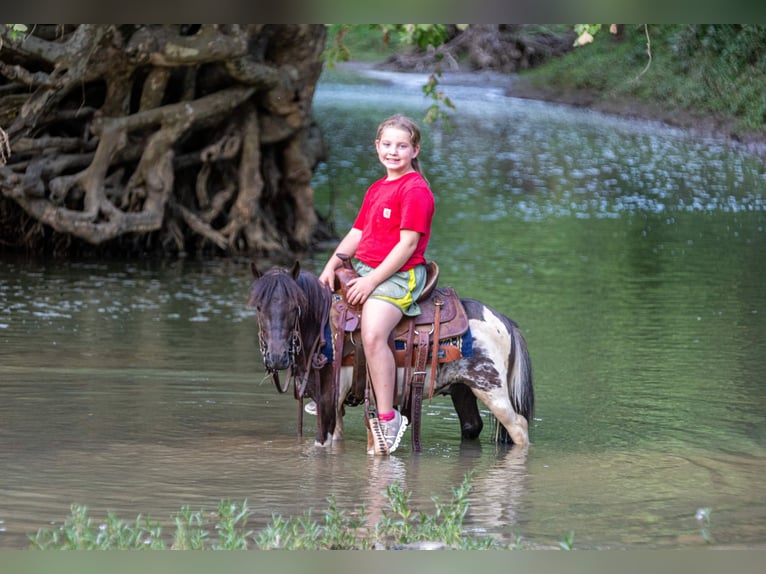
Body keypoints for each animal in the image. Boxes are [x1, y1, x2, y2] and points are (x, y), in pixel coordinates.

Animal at [248, 260, 534, 450]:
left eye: (295, 307)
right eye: (259, 307)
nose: (277, 357)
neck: (323, 332)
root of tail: (505, 322)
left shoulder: (329, 400)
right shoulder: (334, 405)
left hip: (491, 389)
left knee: (519, 428)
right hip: (462, 390)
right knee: (472, 426)